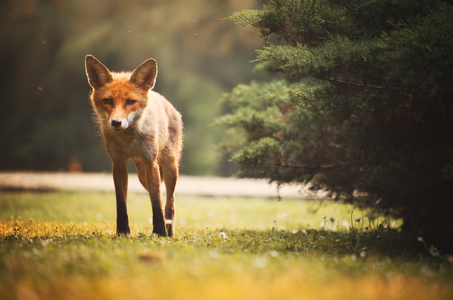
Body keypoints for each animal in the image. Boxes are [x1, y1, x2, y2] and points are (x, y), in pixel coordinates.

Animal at [85, 54, 182, 237]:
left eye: (130, 101)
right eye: (108, 101)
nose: (116, 122)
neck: (129, 141)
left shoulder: (151, 162)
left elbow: (156, 202)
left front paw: (160, 232)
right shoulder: (118, 164)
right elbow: (121, 203)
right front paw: (123, 231)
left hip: (169, 168)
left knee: (170, 203)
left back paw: (169, 231)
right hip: (142, 176)